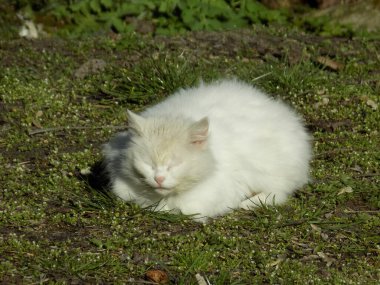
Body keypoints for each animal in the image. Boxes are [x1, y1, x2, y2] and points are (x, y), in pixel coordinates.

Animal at [101, 78, 312, 222]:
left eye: (174, 165)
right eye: (149, 164)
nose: (158, 179)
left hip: (271, 170)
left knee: (278, 192)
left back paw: (247, 204)